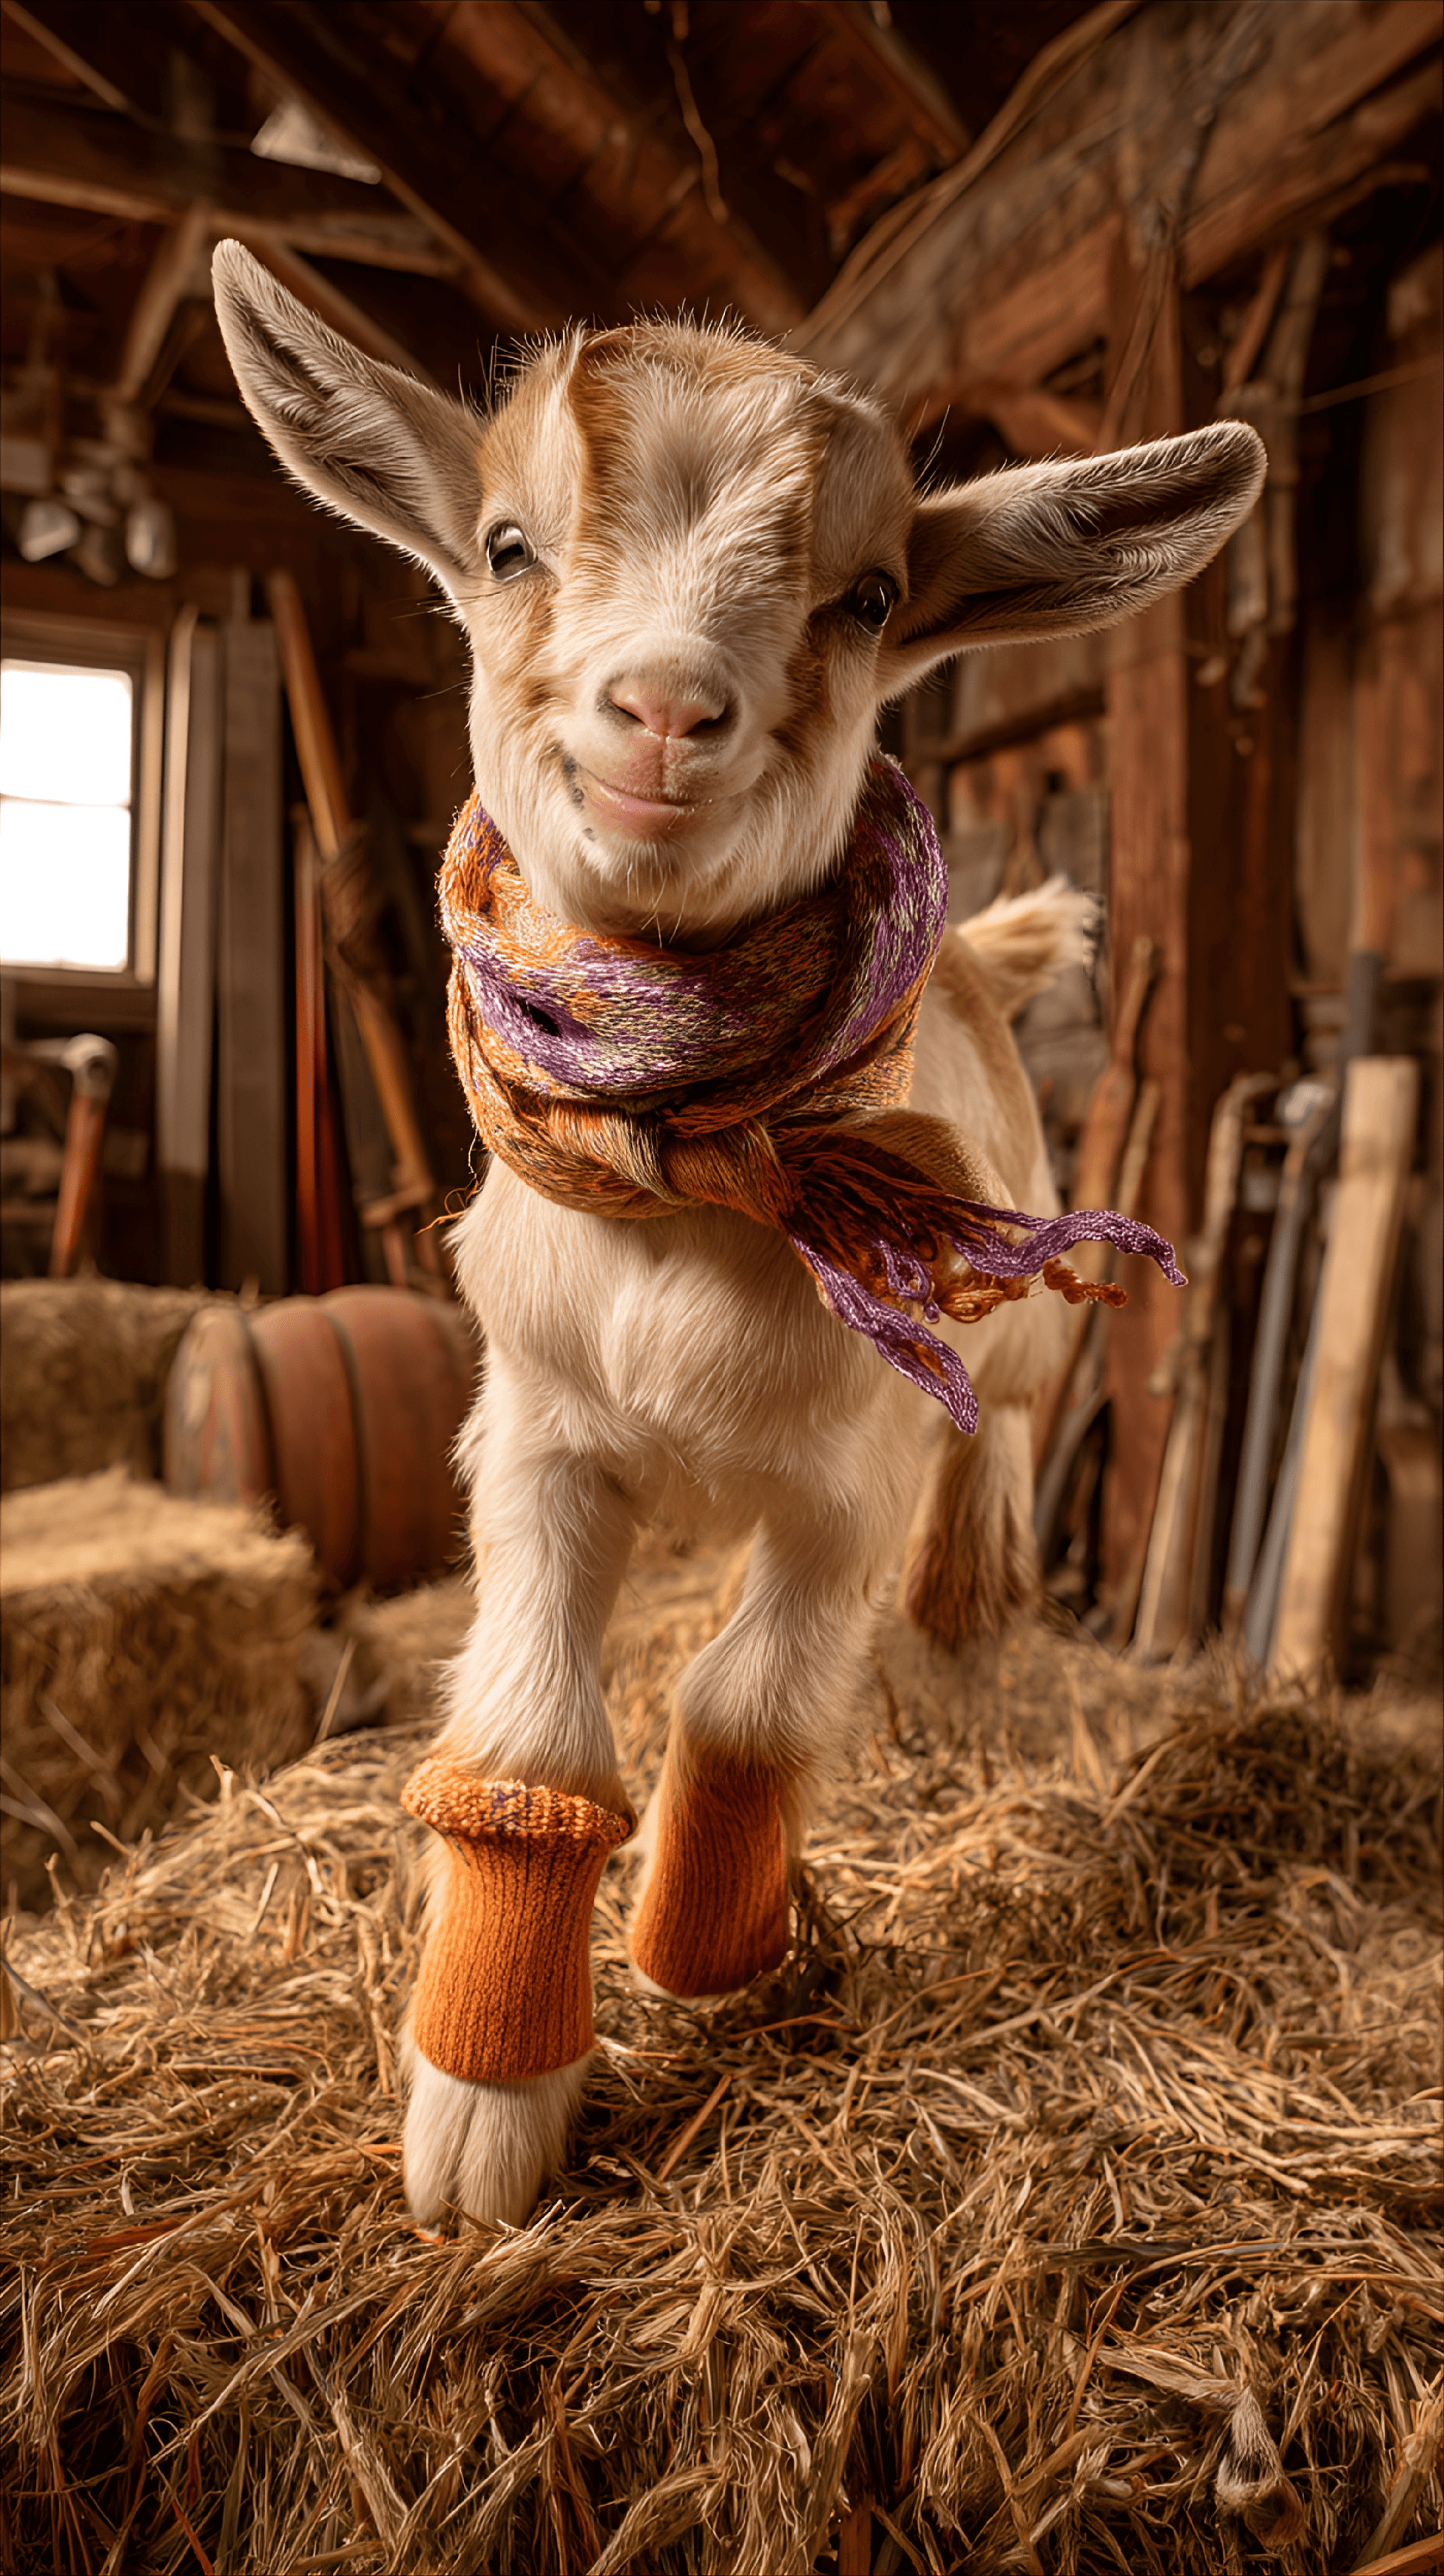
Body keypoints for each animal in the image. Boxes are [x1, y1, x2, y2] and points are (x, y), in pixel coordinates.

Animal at [213, 242, 1264, 2227]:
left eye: (868, 597)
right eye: (507, 544)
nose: (666, 708)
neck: (681, 1181)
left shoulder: (846, 1472)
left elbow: (752, 1699)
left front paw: (709, 1948)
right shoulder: (536, 1434)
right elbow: (534, 1728)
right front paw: (486, 2098)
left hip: (1012, 1335)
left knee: (996, 1449)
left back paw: (967, 1634)